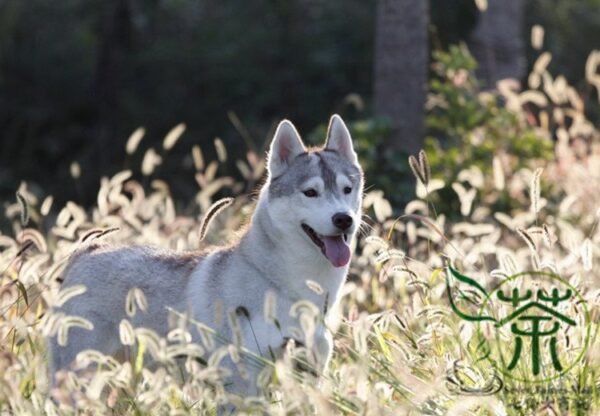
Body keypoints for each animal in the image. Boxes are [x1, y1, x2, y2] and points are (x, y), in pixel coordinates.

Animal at [49, 114, 364, 400]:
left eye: (347, 189)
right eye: (310, 192)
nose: (343, 219)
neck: (293, 290)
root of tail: (88, 251)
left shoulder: (308, 377)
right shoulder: (242, 388)